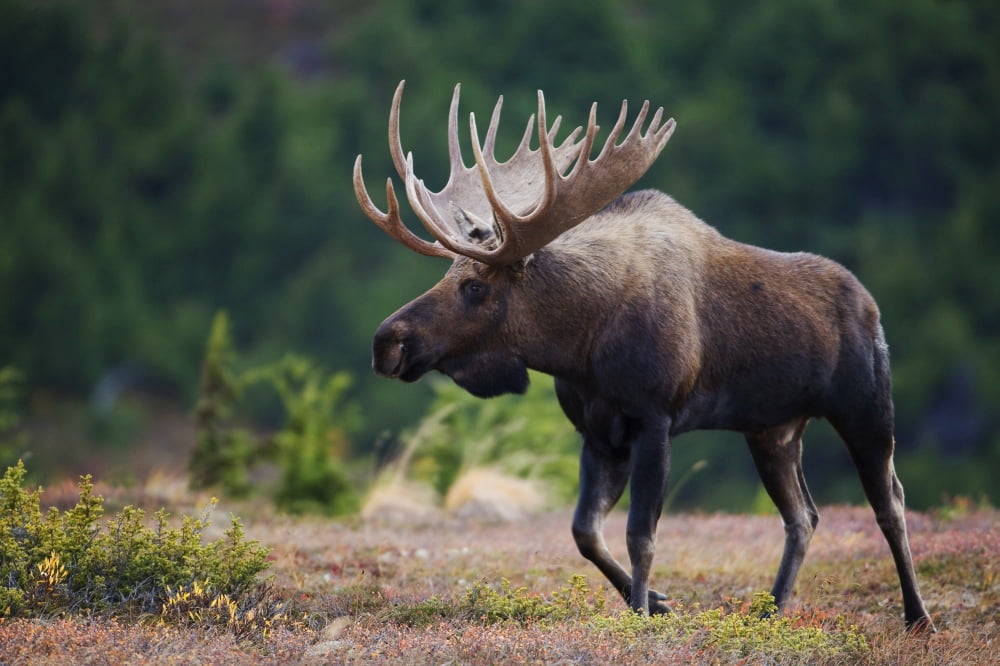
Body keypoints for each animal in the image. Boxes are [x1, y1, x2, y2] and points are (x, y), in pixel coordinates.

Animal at [353, 80, 933, 631]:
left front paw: (640, 612)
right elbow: (585, 531)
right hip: (773, 429)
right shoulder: (598, 432)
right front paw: (655, 602)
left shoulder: (656, 418)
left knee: (890, 502)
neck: (579, 346)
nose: (387, 342)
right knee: (803, 516)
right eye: (446, 273)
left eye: (474, 286)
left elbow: (641, 534)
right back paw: (772, 610)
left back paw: (917, 616)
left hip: (866, 406)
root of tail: (870, 304)